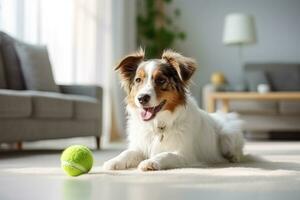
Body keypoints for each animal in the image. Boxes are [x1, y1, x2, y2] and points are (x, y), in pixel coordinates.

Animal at [103, 48, 244, 170]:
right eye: (138, 80)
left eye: (161, 80)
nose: (142, 98)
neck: (158, 125)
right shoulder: (140, 146)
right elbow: (127, 152)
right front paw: (113, 161)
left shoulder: (185, 155)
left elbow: (166, 154)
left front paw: (150, 162)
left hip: (228, 134)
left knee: (238, 150)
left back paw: (234, 157)